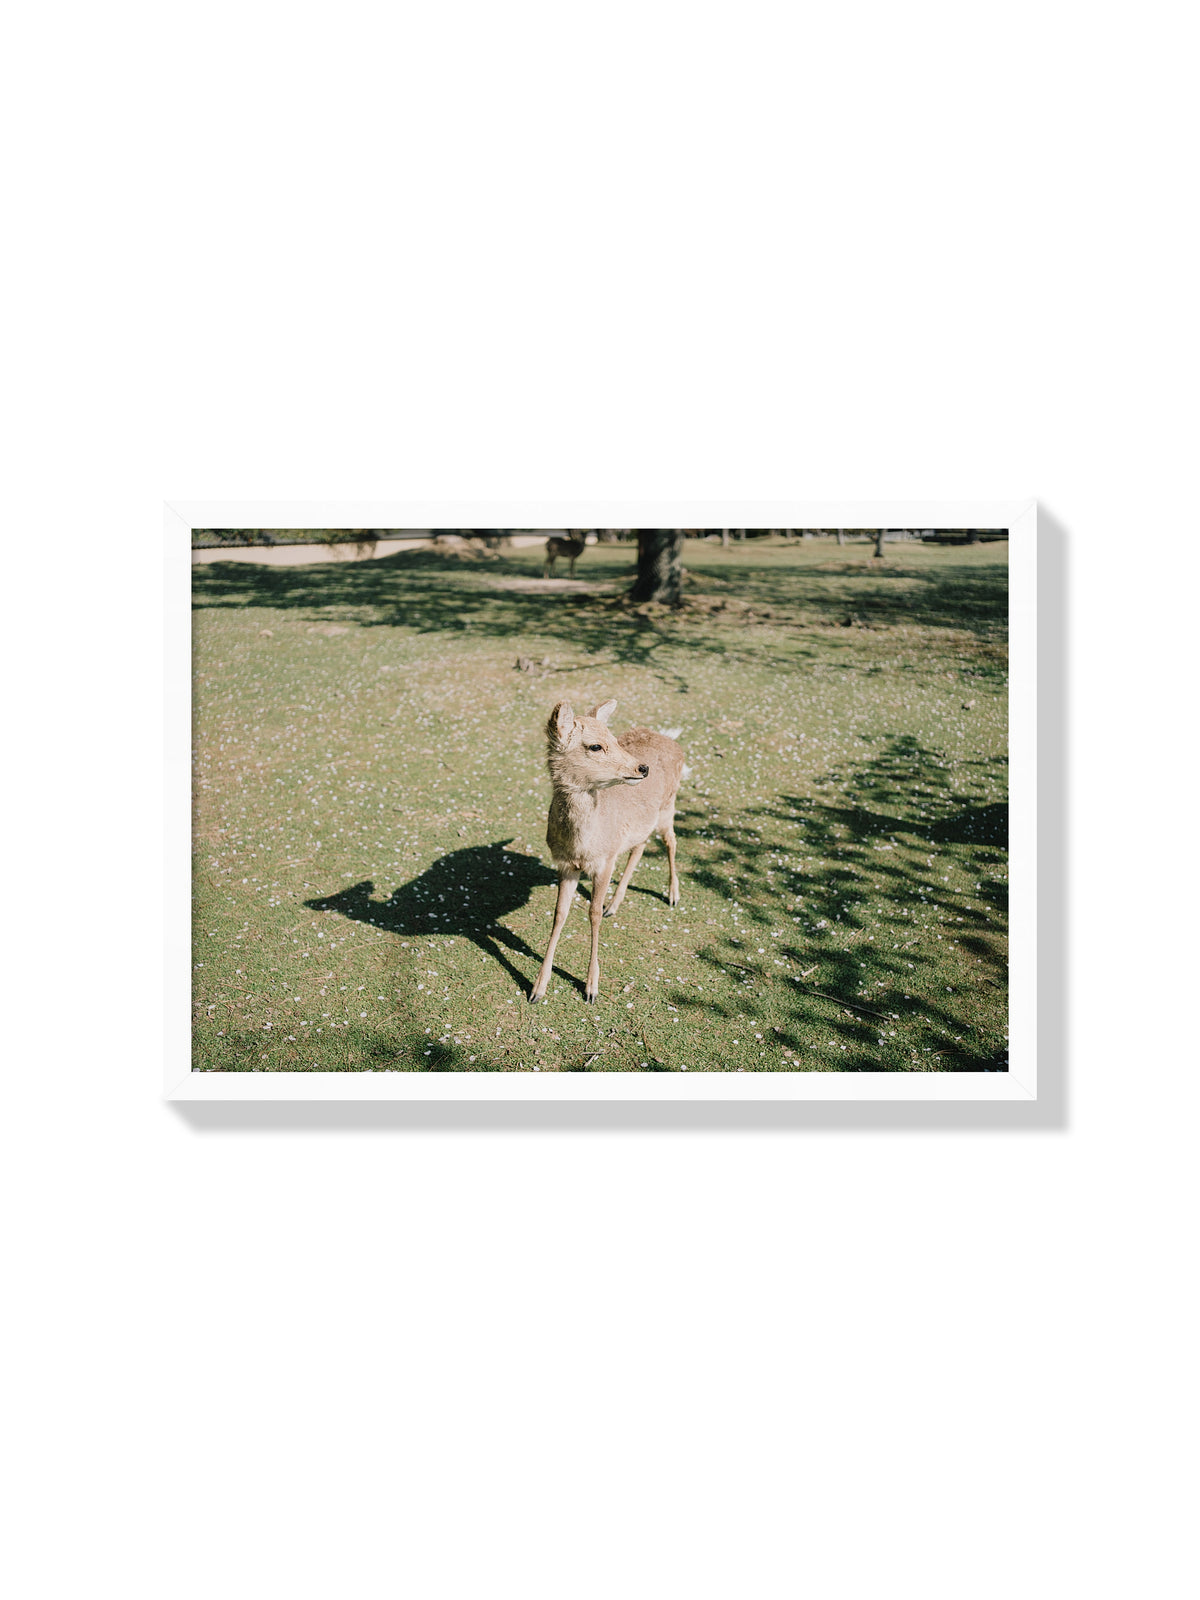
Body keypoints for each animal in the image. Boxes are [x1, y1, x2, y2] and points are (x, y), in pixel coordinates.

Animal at [530, 699, 684, 1004]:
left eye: (614, 739)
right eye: (595, 746)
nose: (642, 768)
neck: (583, 846)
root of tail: (673, 742)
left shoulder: (605, 862)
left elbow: (593, 914)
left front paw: (591, 987)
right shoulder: (565, 865)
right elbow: (559, 914)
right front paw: (537, 988)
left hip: (669, 805)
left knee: (671, 840)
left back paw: (672, 895)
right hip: (645, 821)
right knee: (640, 845)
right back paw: (615, 904)